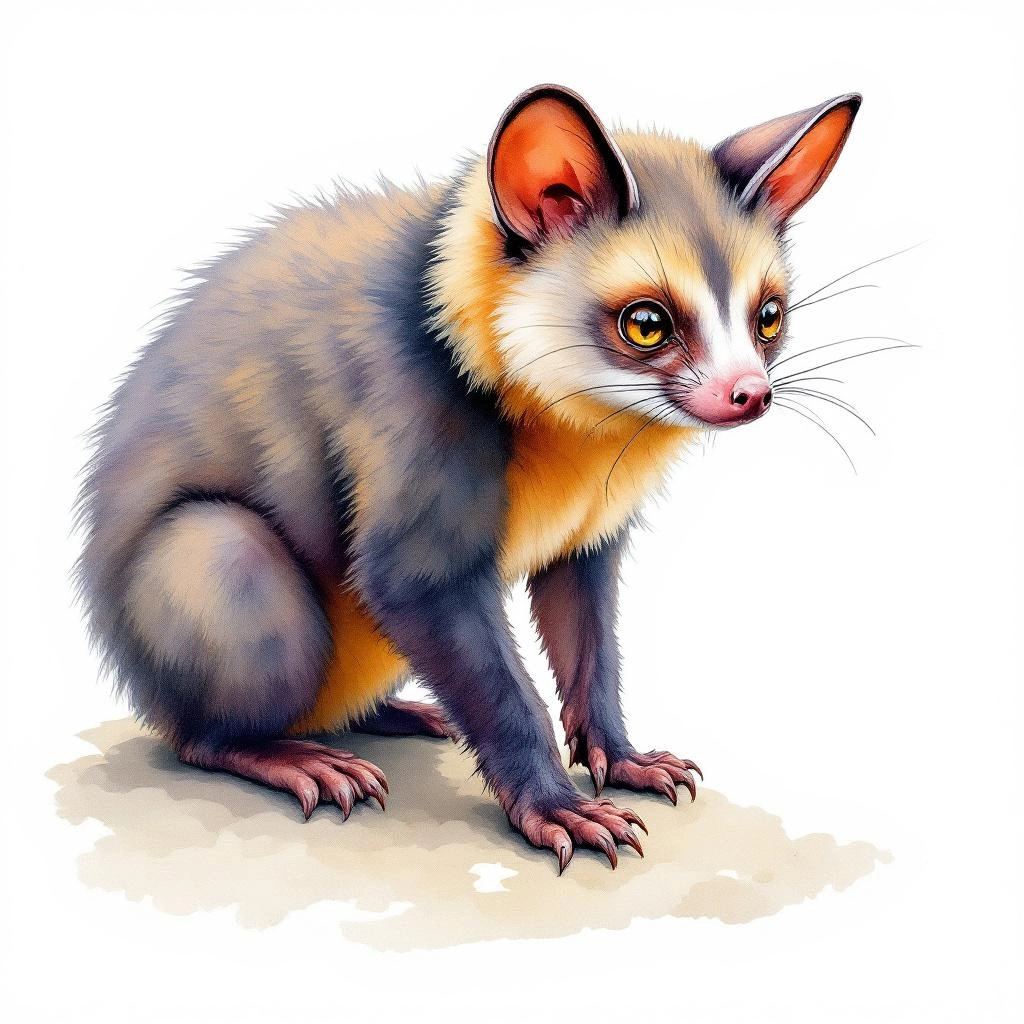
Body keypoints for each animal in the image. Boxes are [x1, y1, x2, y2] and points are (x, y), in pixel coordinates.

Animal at [76, 84, 861, 872]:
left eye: (769, 317)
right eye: (646, 324)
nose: (750, 393)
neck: (577, 425)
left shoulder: (592, 530)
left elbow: (589, 625)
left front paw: (623, 759)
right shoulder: (411, 409)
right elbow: (416, 588)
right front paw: (556, 809)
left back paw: (393, 712)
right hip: (213, 592)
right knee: (218, 600)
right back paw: (278, 753)